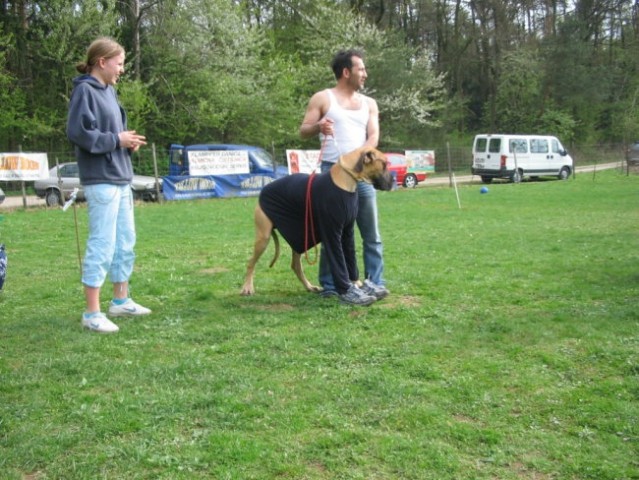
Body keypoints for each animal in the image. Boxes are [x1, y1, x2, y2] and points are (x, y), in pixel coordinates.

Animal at [240, 146, 392, 296]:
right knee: (250, 262)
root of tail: (264, 190)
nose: (393, 181)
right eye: (384, 164)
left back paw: (309, 286)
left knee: (295, 265)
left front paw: (356, 282)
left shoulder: (347, 231)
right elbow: (339, 261)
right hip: (264, 236)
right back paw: (247, 287)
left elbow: (350, 259)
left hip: (300, 236)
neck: (345, 180)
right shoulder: (332, 232)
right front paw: (347, 288)